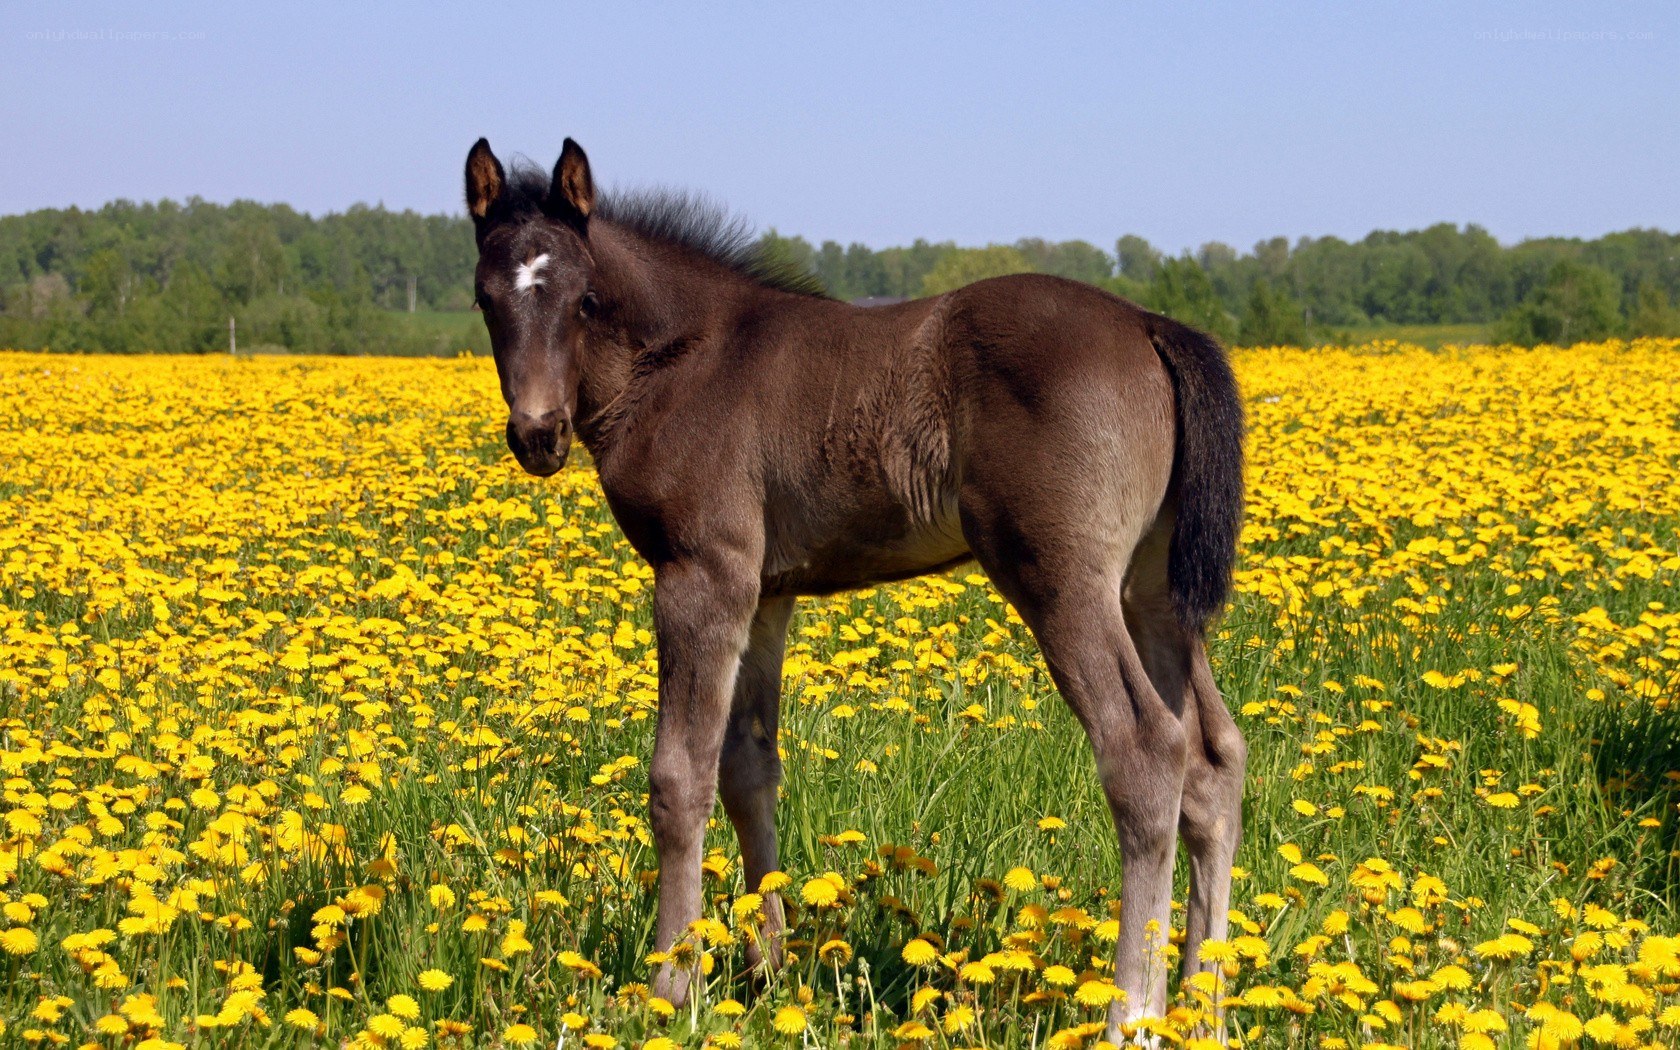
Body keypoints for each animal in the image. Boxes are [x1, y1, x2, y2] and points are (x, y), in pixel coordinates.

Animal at [463, 137, 1247, 1043]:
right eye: (485, 297)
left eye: (584, 299)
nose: (538, 433)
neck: (685, 360)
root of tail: (1152, 325)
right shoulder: (765, 592)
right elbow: (749, 766)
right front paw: (766, 970)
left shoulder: (700, 574)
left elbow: (678, 777)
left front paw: (672, 985)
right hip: (1151, 595)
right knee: (1214, 759)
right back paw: (1203, 1007)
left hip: (1061, 581)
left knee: (1148, 750)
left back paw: (1129, 1015)